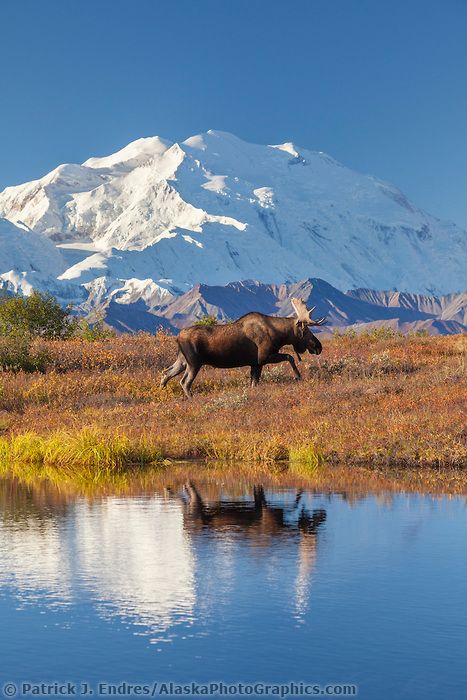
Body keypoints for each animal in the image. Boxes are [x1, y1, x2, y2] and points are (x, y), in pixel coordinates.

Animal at [161, 296, 326, 396]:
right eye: (306, 331)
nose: (319, 347)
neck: (279, 335)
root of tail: (178, 337)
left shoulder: (255, 363)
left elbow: (254, 383)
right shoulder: (263, 357)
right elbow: (290, 357)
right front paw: (298, 376)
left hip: (183, 361)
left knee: (166, 373)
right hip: (194, 363)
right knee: (184, 382)